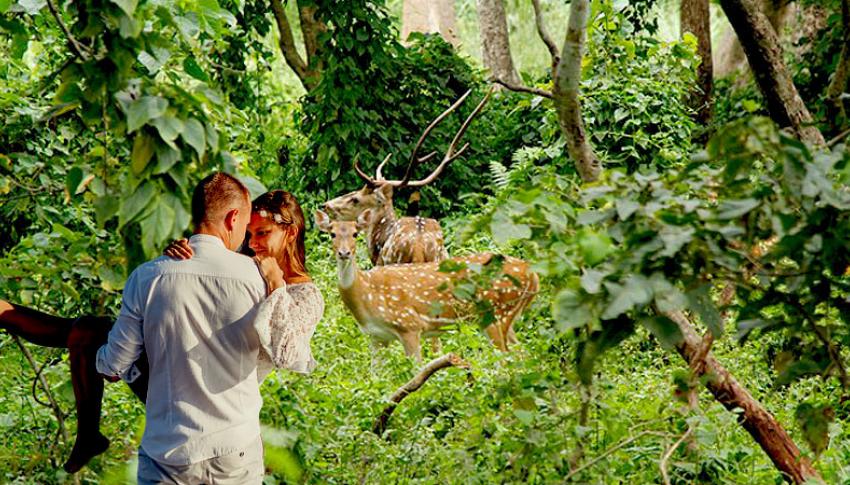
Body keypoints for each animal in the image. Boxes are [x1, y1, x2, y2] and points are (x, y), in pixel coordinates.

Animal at [312, 210, 536, 362]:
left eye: (355, 233)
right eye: (332, 233)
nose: (344, 253)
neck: (366, 293)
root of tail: (533, 275)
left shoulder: (409, 324)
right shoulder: (376, 336)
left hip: (498, 313)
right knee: (522, 352)